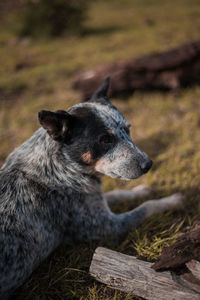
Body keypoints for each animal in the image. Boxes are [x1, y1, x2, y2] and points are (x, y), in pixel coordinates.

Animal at [0, 77, 184, 298]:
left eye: (128, 129)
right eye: (105, 139)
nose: (148, 164)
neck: (61, 166)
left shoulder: (95, 200)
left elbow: (117, 193)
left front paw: (141, 190)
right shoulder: (108, 228)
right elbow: (146, 207)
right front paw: (172, 200)